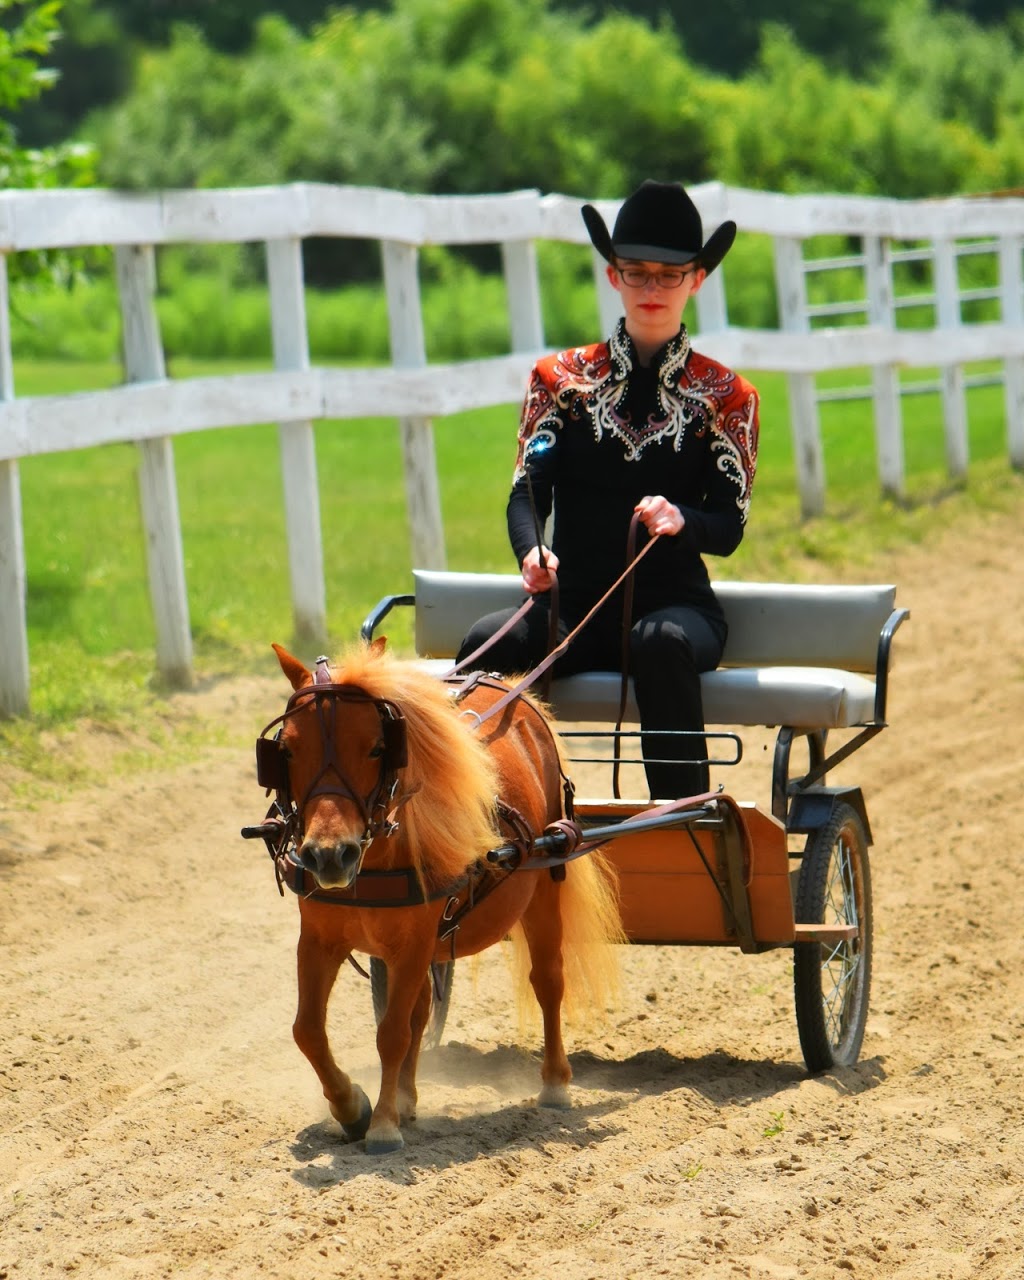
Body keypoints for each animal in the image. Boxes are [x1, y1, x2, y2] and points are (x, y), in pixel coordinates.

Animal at [263, 640, 619, 1152]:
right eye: (287, 750)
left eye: (377, 747)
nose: (330, 856)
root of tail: (512, 689)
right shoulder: (319, 940)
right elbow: (308, 1029)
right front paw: (352, 1107)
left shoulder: (412, 943)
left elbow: (391, 1033)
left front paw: (382, 1125)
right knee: (421, 1009)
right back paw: (408, 1097)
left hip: (545, 884)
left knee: (548, 981)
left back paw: (554, 1084)